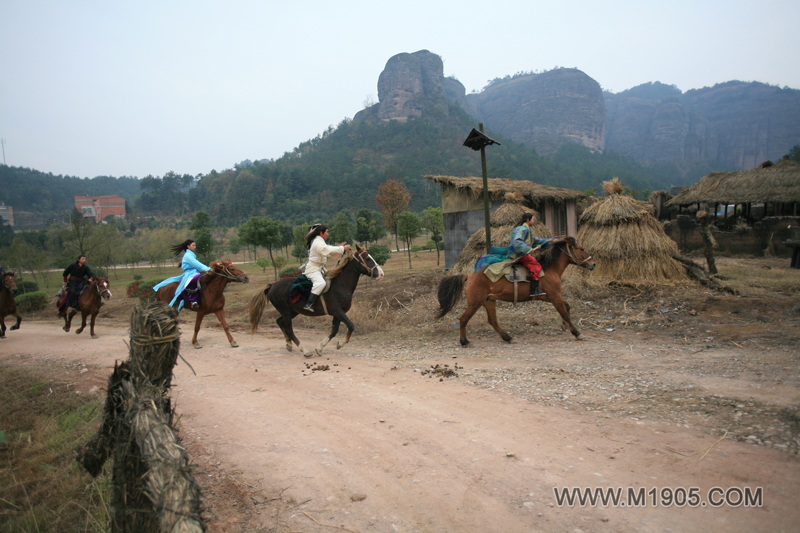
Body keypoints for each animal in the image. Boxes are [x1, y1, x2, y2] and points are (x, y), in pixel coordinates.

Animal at [250, 246, 388, 358]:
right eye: (368, 258)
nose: (381, 274)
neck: (341, 285)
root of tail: (272, 285)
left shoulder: (338, 313)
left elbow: (334, 331)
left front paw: (320, 347)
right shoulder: (337, 311)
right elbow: (350, 325)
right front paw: (341, 343)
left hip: (292, 311)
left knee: (279, 322)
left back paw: (288, 344)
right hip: (287, 312)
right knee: (289, 329)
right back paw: (304, 350)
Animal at [434, 236, 596, 344]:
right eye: (581, 249)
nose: (593, 264)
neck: (549, 269)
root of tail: (469, 275)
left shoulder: (549, 296)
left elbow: (567, 307)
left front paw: (564, 326)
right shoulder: (554, 295)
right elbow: (565, 313)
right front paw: (577, 333)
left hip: (488, 301)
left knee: (492, 320)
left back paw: (507, 337)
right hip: (475, 303)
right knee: (463, 319)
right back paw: (464, 341)